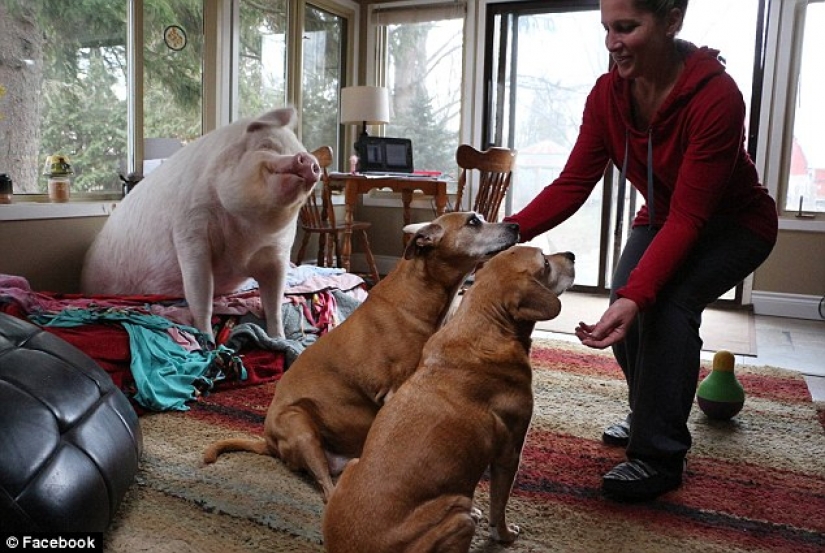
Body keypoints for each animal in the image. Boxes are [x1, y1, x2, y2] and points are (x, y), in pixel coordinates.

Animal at [81, 107, 320, 340]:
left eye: (296, 148)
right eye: (267, 145)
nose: (309, 159)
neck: (246, 238)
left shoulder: (279, 252)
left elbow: (275, 303)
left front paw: (279, 339)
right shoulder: (190, 231)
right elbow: (201, 294)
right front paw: (208, 340)